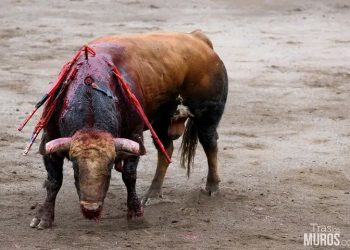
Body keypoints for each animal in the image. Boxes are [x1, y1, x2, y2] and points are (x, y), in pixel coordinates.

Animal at [28, 29, 228, 229]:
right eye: (76, 169)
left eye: (109, 169)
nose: (91, 209)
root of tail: (198, 38)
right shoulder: (50, 138)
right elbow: (54, 181)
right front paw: (43, 217)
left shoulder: (134, 136)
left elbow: (129, 176)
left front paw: (136, 215)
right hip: (160, 121)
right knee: (166, 149)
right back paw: (153, 193)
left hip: (207, 115)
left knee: (210, 144)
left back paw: (212, 186)